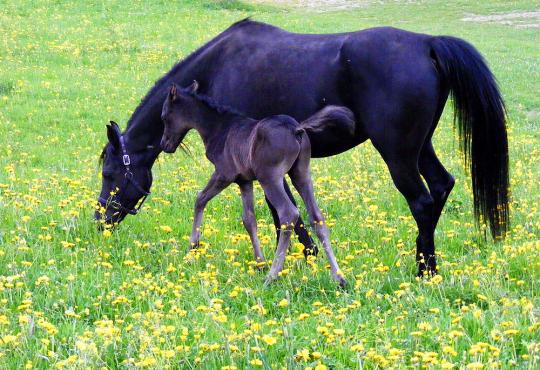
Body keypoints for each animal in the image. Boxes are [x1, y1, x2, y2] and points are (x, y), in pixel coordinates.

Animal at [160, 83, 354, 286]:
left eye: (164, 116)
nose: (165, 145)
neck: (220, 128)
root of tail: (296, 128)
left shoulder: (224, 174)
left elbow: (200, 199)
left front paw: (193, 247)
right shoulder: (244, 181)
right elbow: (249, 219)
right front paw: (260, 263)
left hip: (270, 178)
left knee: (288, 214)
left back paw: (272, 276)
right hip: (301, 174)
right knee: (317, 218)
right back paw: (340, 278)